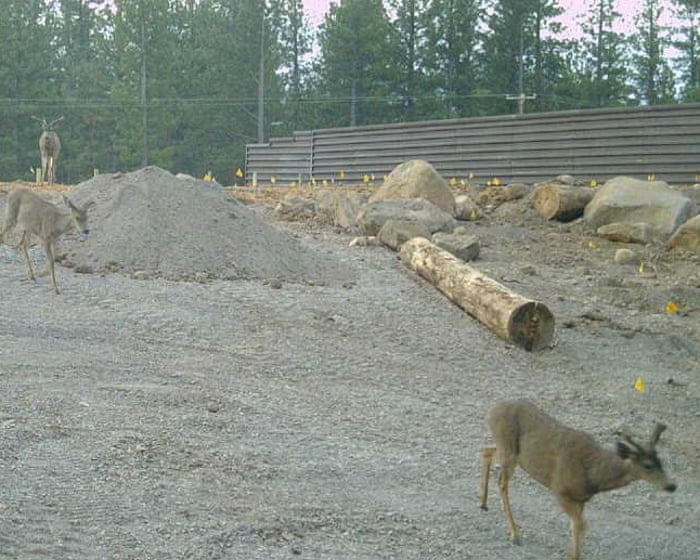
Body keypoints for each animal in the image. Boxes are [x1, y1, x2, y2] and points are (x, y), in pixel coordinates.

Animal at [478, 399, 676, 560]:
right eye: (647, 465)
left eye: (661, 462)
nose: (672, 486)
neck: (593, 476)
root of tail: (491, 411)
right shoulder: (559, 489)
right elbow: (581, 524)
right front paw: (574, 556)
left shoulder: (581, 499)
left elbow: (577, 526)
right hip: (509, 450)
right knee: (502, 482)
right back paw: (514, 533)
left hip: (510, 453)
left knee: (487, 450)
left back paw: (483, 502)